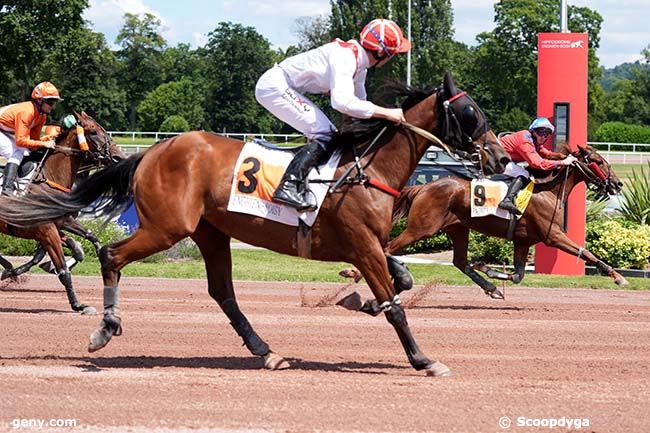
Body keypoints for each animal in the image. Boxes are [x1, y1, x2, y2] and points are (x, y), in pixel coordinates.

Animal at [0, 111, 123, 312]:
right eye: (93, 131)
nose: (118, 157)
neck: (50, 179)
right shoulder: (46, 230)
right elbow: (63, 269)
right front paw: (78, 305)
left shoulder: (61, 223)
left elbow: (84, 243)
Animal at [340, 143, 624, 306]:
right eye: (598, 161)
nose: (618, 183)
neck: (549, 191)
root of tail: (423, 187)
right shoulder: (552, 236)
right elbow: (585, 251)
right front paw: (618, 276)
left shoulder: (523, 241)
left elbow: (518, 275)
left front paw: (488, 270)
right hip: (421, 228)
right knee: (388, 247)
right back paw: (354, 273)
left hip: (458, 228)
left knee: (460, 262)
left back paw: (491, 288)